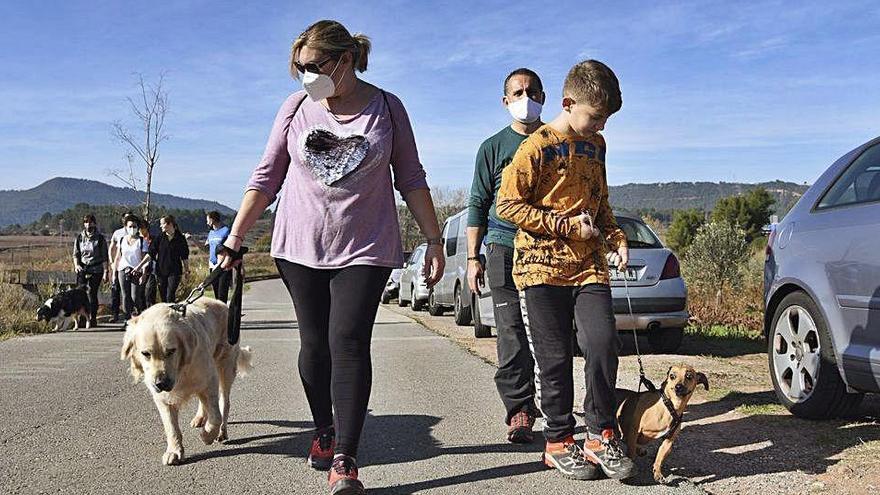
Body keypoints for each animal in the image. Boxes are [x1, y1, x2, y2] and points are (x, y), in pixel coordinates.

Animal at [120, 298, 253, 464]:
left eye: (171, 351)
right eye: (145, 353)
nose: (160, 383)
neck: (180, 370)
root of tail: (222, 303)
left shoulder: (210, 379)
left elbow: (216, 416)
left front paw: (207, 435)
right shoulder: (162, 398)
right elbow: (171, 427)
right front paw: (174, 451)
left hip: (225, 367)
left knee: (224, 403)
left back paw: (221, 431)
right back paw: (200, 418)